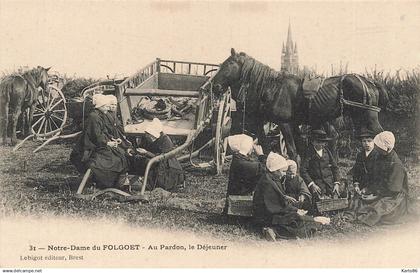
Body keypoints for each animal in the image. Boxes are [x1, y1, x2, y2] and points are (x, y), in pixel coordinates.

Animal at [212, 48, 388, 159]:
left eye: (228, 64)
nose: (215, 86)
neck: (272, 87)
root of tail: (370, 82)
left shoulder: (285, 124)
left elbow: (292, 152)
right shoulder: (292, 125)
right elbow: (295, 152)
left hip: (370, 117)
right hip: (359, 118)